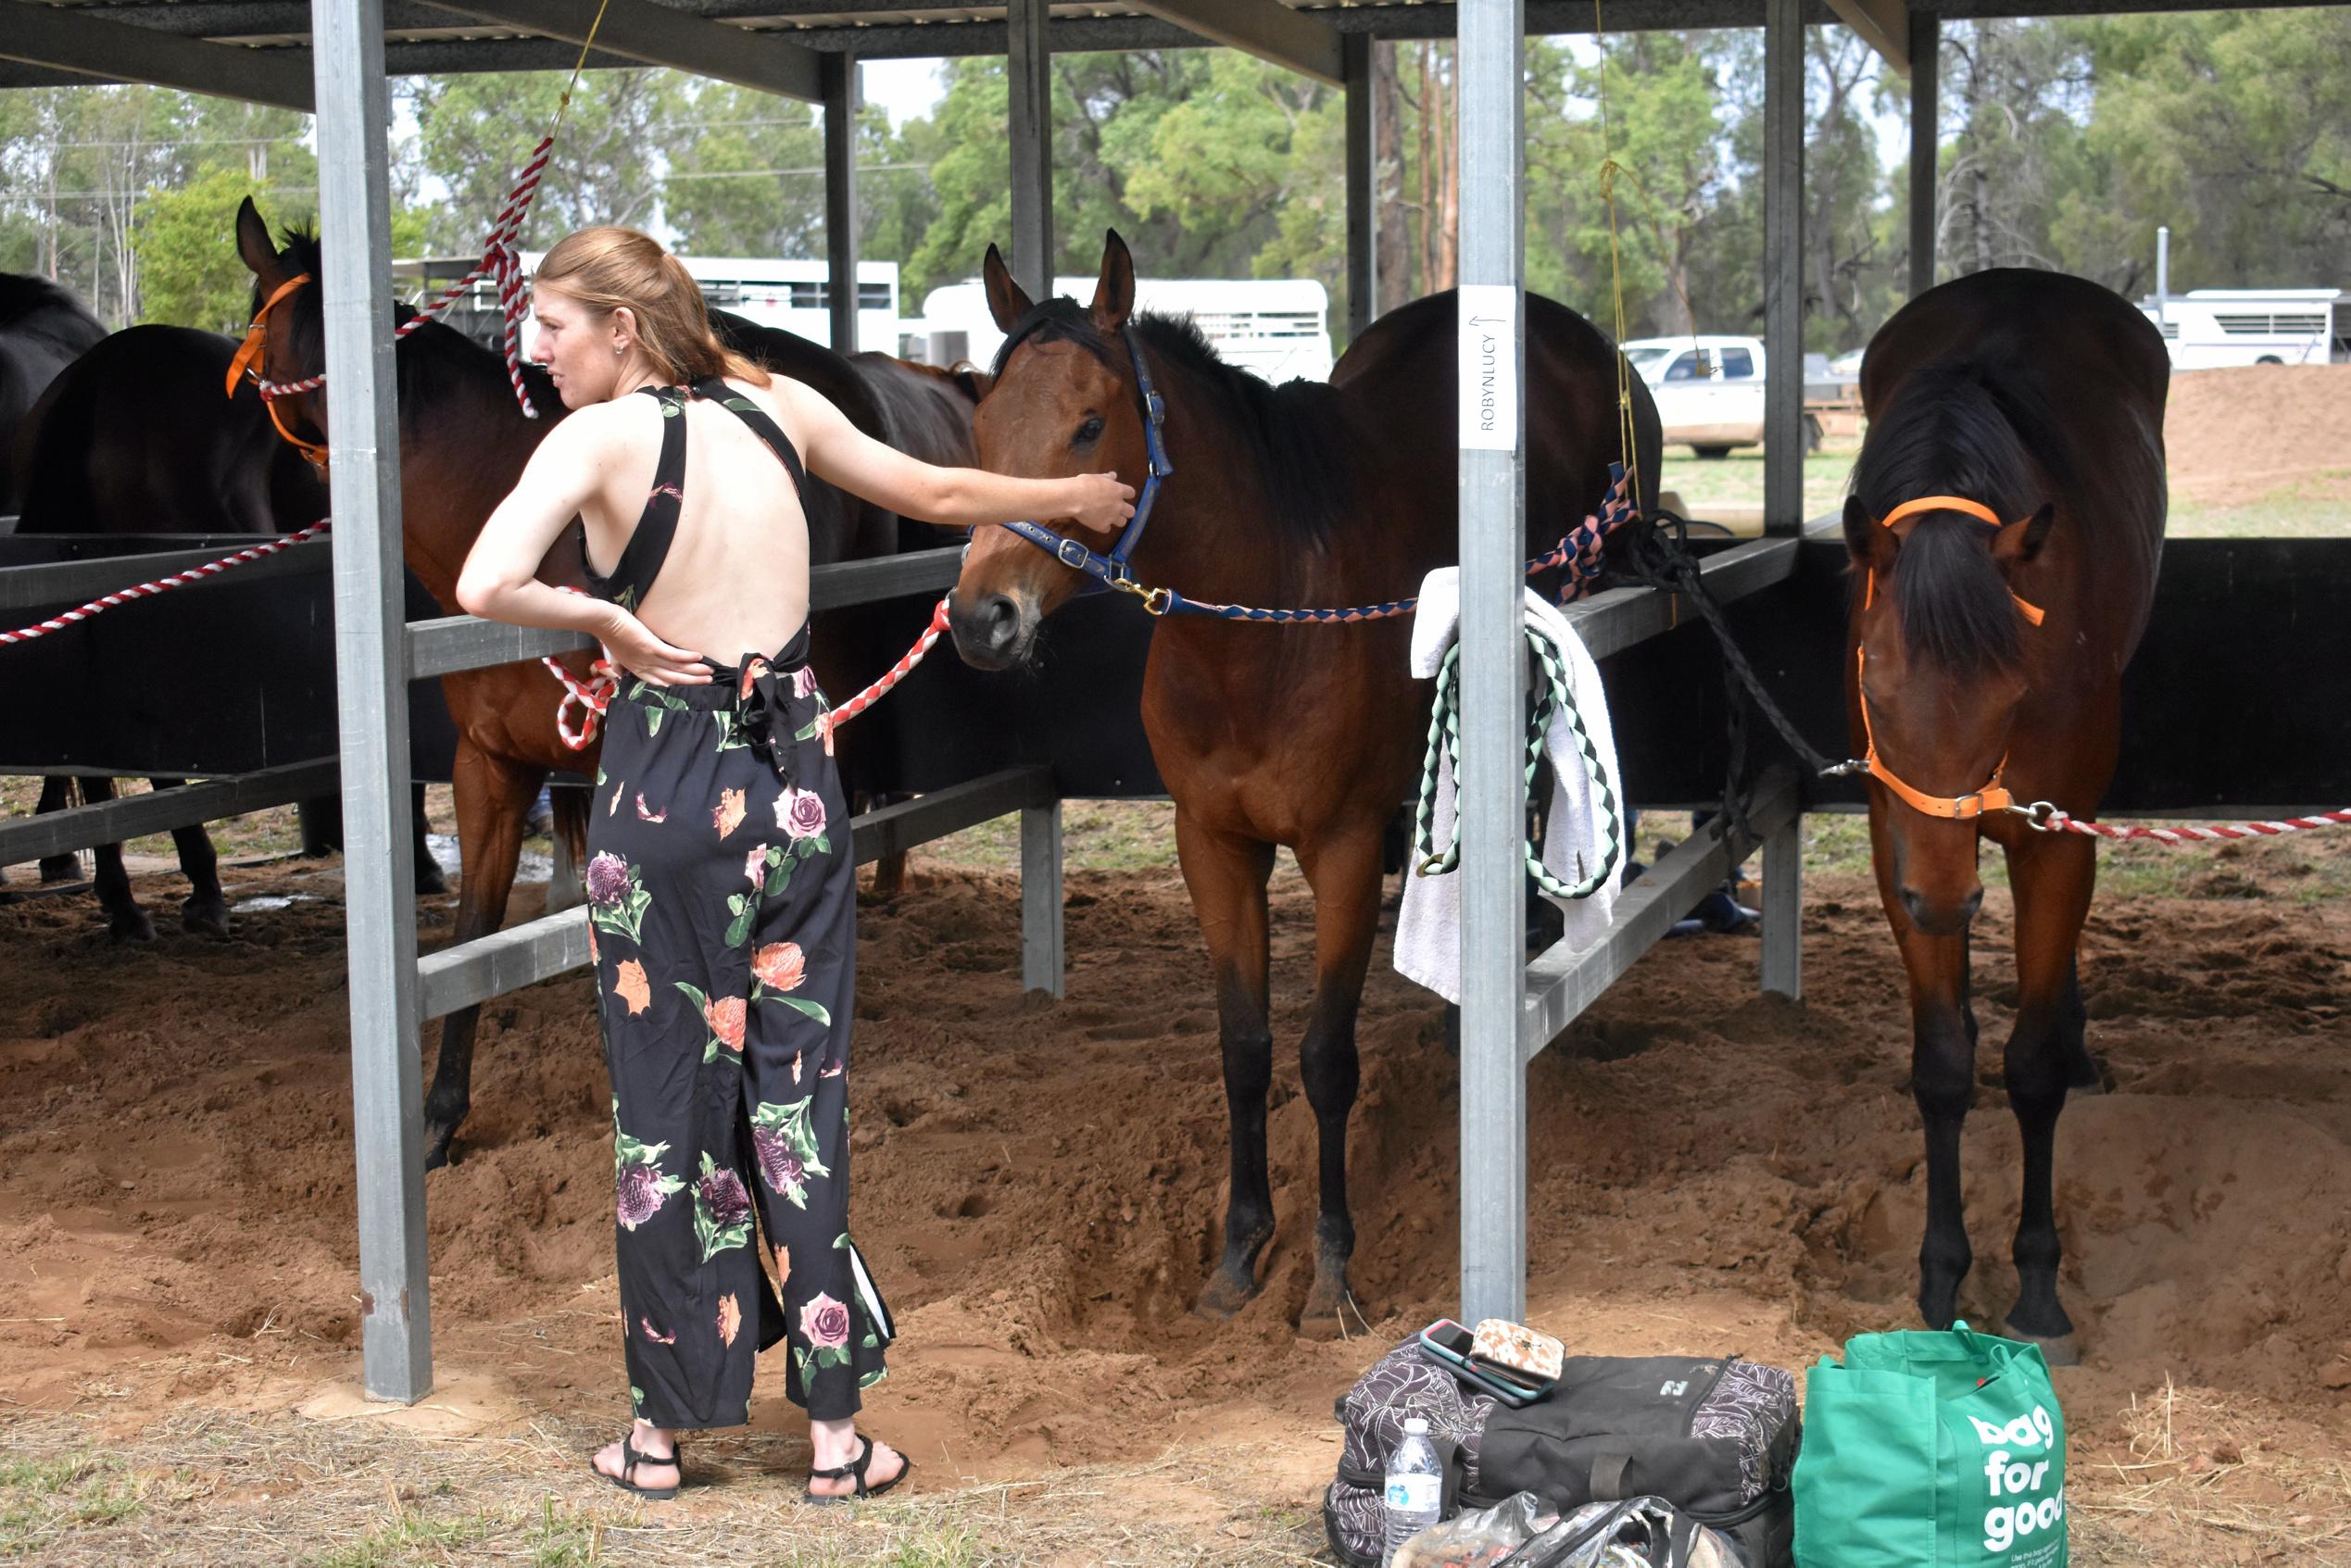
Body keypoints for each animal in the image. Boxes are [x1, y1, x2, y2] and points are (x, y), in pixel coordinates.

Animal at [945, 230, 1664, 1335]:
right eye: (981, 423)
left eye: (1089, 423)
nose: (984, 618)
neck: (1264, 620)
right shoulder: (1214, 847)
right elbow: (1244, 1051)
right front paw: (1240, 1250)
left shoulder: (1343, 848)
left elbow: (1326, 1059)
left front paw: (1331, 1267)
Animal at [1842, 270, 2153, 1363]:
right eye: (1876, 689)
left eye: (2014, 695)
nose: (1946, 901)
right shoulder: (1897, 838)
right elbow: (1945, 1064)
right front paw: (1940, 1277)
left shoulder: (2053, 843)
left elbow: (2029, 1069)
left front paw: (2038, 1285)